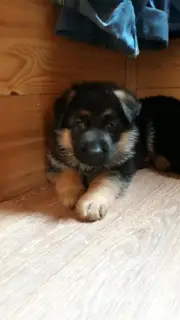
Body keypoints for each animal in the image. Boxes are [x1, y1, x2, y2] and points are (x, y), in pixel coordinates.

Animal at [45, 81, 180, 221]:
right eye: (79, 123)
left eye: (111, 125)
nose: (94, 152)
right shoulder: (56, 158)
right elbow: (65, 169)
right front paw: (72, 192)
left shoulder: (120, 166)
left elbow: (104, 180)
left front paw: (93, 201)